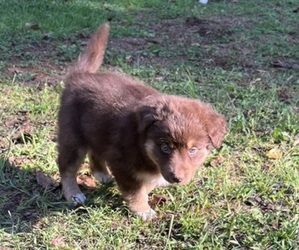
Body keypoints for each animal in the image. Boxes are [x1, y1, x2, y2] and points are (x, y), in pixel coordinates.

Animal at [58, 22, 227, 220]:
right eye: (165, 147)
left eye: (193, 150)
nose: (177, 178)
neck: (142, 145)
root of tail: (80, 75)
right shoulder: (122, 164)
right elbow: (135, 189)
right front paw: (143, 210)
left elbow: (147, 184)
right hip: (72, 136)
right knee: (67, 167)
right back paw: (73, 194)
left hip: (95, 128)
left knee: (95, 150)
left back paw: (101, 174)